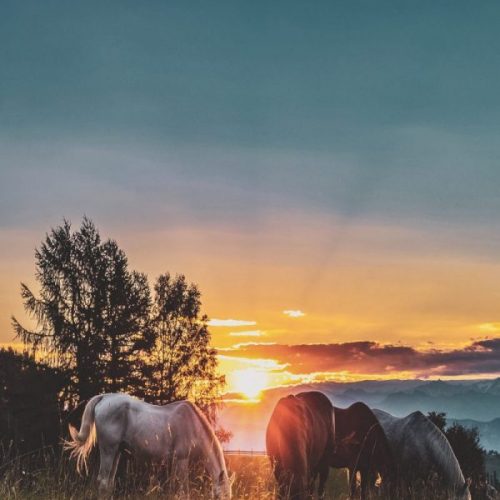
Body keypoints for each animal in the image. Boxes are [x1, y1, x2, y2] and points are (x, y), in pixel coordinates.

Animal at [64, 392, 232, 498]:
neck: (193, 425)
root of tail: (104, 397)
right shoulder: (181, 460)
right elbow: (184, 491)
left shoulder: (174, 463)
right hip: (108, 450)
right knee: (104, 482)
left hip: (116, 452)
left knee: (108, 484)